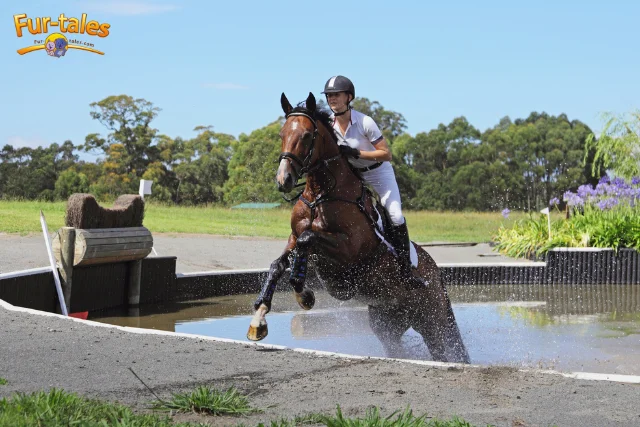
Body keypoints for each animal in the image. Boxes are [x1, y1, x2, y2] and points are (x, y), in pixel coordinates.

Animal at [246, 92, 470, 363]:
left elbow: (307, 239)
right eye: (282, 134)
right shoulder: (293, 236)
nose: (283, 180)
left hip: (431, 320)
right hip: (387, 322)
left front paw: (304, 295)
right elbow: (278, 264)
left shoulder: (348, 249)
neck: (320, 195)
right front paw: (259, 319)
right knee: (397, 345)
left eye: (307, 135)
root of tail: (436, 274)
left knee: (443, 350)